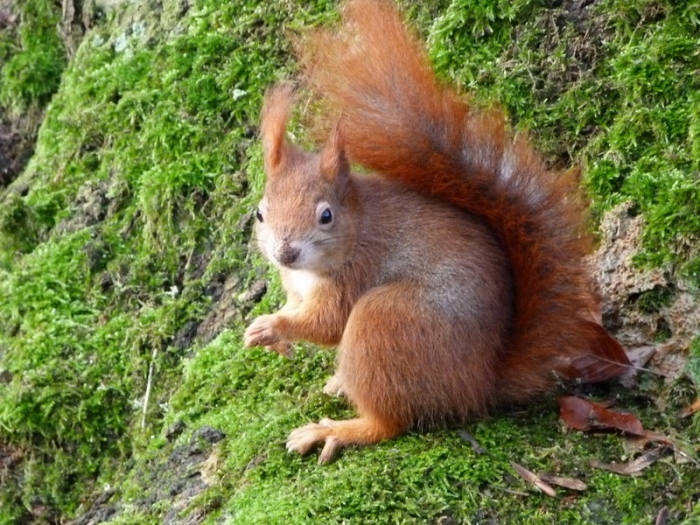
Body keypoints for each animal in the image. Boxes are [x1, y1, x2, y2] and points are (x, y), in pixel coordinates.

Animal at [243, 0, 628, 463]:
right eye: (259, 213)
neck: (354, 232)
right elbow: (300, 310)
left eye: (326, 216)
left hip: (387, 320)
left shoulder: (354, 275)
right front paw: (274, 335)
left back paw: (337, 429)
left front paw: (271, 327)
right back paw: (340, 382)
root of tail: (479, 385)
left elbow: (326, 324)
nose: (286, 253)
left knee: (389, 422)